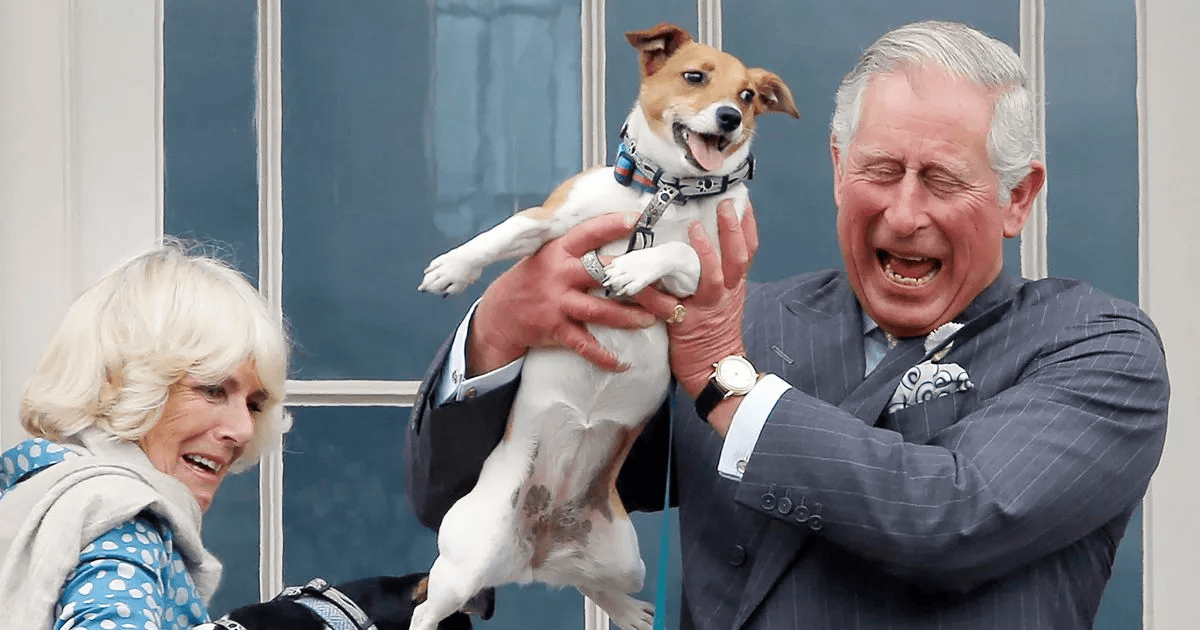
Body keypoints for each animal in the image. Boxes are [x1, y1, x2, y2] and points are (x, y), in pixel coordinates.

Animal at [412, 23, 796, 628]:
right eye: (695, 76)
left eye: (749, 96)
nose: (731, 118)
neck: (666, 195)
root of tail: (537, 550)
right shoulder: (554, 222)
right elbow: (504, 231)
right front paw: (454, 267)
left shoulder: (706, 271)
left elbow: (676, 254)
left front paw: (634, 268)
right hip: (468, 557)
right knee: (428, 609)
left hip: (623, 558)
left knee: (588, 581)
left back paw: (631, 613)